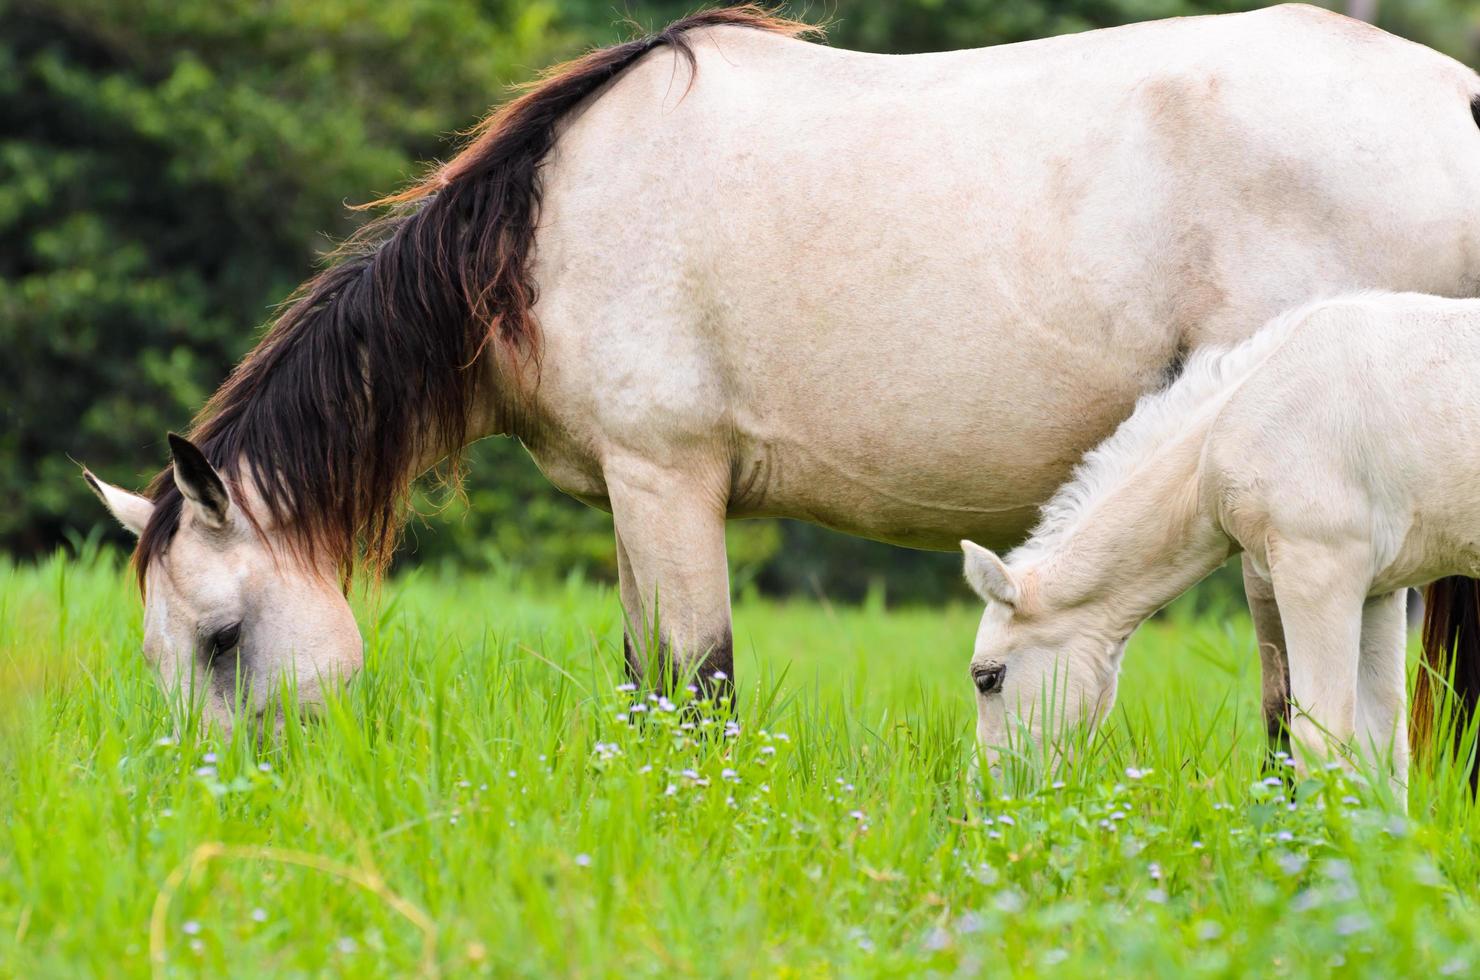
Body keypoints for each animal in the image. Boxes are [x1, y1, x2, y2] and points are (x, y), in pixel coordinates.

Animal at [83, 3, 1480, 728]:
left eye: (221, 639)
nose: (222, 802)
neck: (543, 230)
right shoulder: (634, 500)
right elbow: (647, 681)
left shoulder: (667, 481)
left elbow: (696, 685)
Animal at [959, 291, 1480, 799]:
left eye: (988, 678)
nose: (984, 796)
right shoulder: (1378, 591)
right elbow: (1383, 752)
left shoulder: (1319, 570)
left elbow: (1320, 739)